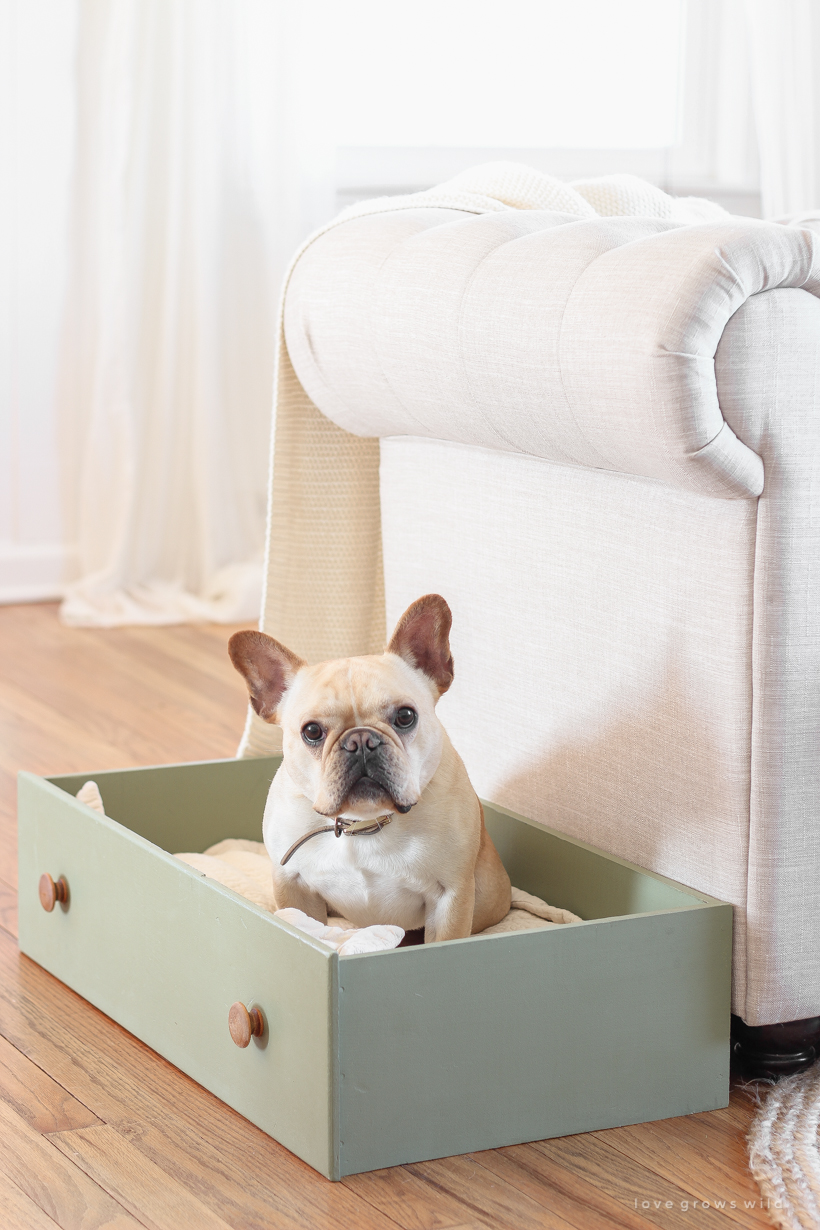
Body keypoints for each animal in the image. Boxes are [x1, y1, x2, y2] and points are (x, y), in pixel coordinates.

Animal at [227, 595, 508, 939]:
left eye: (405, 716)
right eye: (312, 732)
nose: (360, 741)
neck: (363, 825)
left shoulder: (450, 898)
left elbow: (446, 939)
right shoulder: (292, 887)